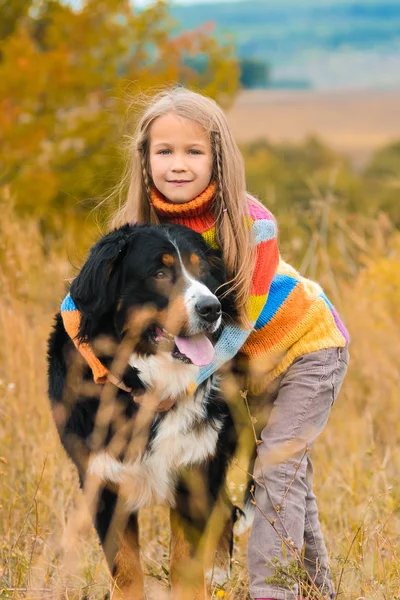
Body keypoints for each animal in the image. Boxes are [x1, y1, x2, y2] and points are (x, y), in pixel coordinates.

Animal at [48, 224, 255, 600]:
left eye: (203, 270)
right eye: (159, 274)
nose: (211, 308)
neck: (150, 384)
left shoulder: (194, 471)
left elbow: (186, 567)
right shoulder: (104, 481)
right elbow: (126, 568)